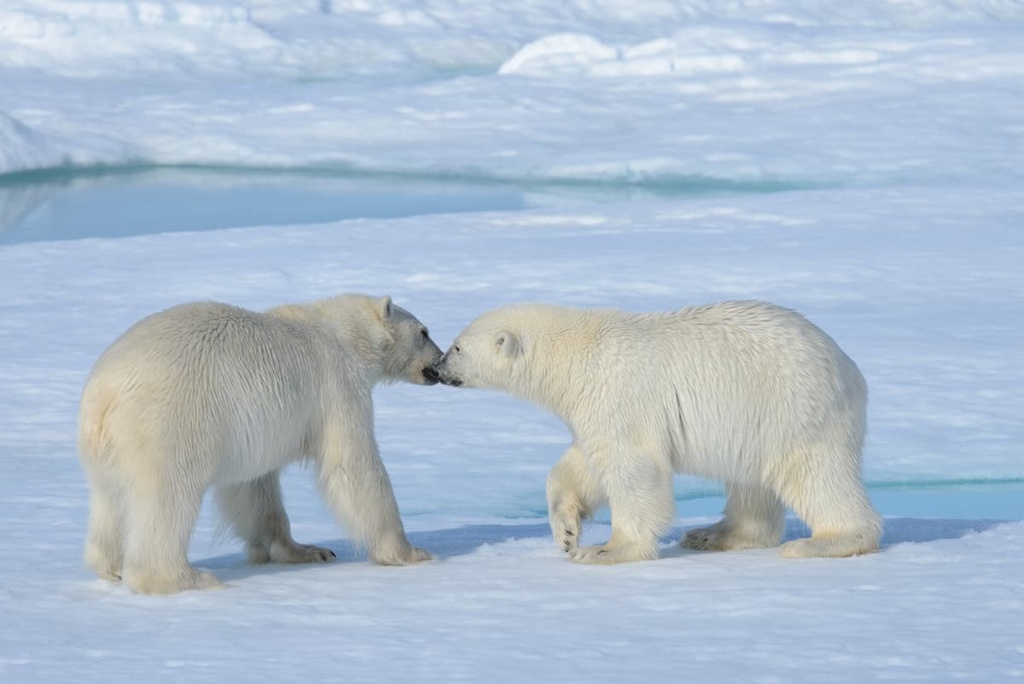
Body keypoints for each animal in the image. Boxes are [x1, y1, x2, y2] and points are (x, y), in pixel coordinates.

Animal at [80, 294, 444, 593]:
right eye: (424, 331)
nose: (440, 363)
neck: (345, 335)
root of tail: (105, 393)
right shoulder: (337, 386)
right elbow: (353, 466)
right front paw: (411, 552)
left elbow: (252, 488)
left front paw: (307, 550)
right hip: (171, 423)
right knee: (169, 495)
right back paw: (186, 578)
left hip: (106, 449)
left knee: (110, 499)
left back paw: (111, 567)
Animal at [432, 301, 880, 565]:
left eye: (456, 347)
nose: (436, 368)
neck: (576, 355)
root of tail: (851, 370)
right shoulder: (593, 407)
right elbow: (581, 465)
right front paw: (566, 532)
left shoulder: (619, 394)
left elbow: (632, 468)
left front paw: (606, 549)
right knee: (750, 484)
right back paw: (712, 534)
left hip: (795, 410)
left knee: (816, 476)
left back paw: (823, 541)